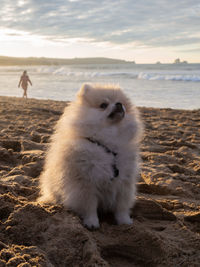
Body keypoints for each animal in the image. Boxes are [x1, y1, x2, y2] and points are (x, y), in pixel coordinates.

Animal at [38, 85, 142, 229]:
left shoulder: (124, 182)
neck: (106, 144)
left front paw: (124, 221)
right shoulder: (85, 183)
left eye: (121, 102)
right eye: (103, 105)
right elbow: (90, 206)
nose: (119, 104)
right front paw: (92, 222)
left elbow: (121, 207)